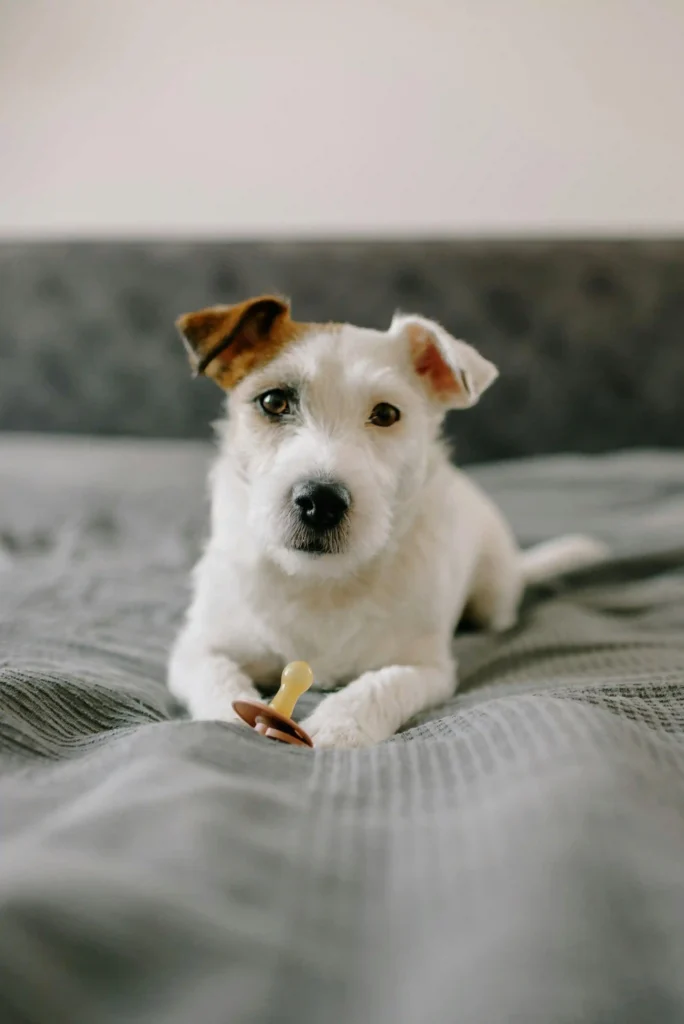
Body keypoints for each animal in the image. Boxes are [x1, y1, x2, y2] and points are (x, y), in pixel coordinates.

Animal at [167, 292, 606, 749]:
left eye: (385, 414)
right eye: (273, 402)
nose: (320, 501)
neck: (323, 582)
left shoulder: (426, 668)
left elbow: (382, 685)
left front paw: (340, 724)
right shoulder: (197, 649)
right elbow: (217, 678)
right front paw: (233, 721)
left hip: (494, 596)